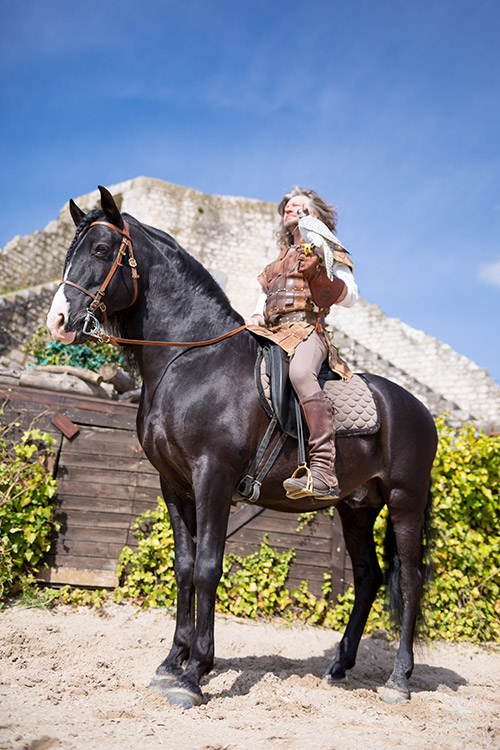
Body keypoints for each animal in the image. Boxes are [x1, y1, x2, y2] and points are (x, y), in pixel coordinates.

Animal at [47, 187, 438, 712]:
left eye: (101, 250)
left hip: (404, 502)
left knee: (410, 580)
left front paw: (194, 674)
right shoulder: (174, 485)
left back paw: (399, 679)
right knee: (368, 578)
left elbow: (209, 568)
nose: (58, 321)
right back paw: (340, 665)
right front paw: (171, 663)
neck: (189, 361)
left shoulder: (212, 476)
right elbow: (184, 568)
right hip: (356, 507)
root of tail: (417, 408)